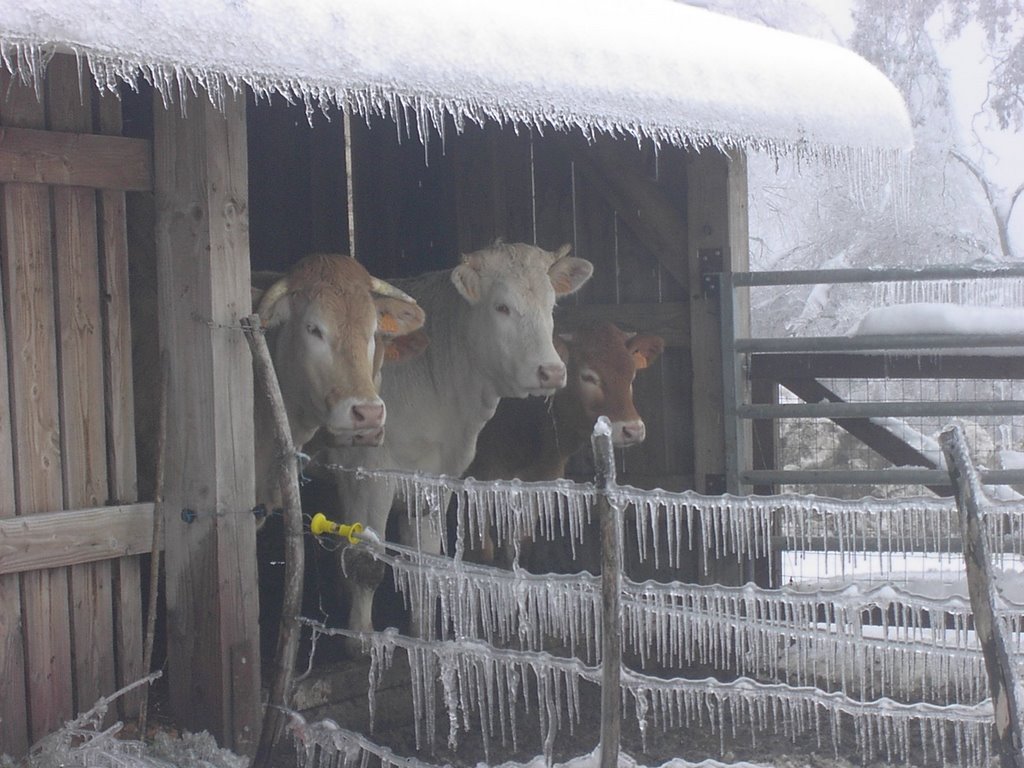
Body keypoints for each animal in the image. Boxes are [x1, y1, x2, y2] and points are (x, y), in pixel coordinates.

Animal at [315, 240, 598, 643]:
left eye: (551, 306)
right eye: (502, 307)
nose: (552, 371)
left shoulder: (434, 480)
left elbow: (424, 562)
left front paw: (422, 637)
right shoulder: (365, 477)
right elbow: (364, 563)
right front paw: (361, 643)